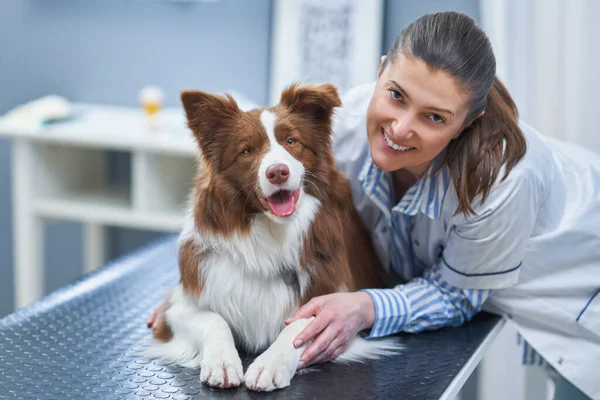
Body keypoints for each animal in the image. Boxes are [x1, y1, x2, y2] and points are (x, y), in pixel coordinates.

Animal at [143, 81, 400, 390]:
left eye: (291, 141)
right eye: (247, 151)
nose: (278, 172)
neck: (270, 234)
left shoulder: (333, 294)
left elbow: (300, 325)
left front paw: (270, 364)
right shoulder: (178, 306)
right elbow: (214, 320)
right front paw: (221, 362)